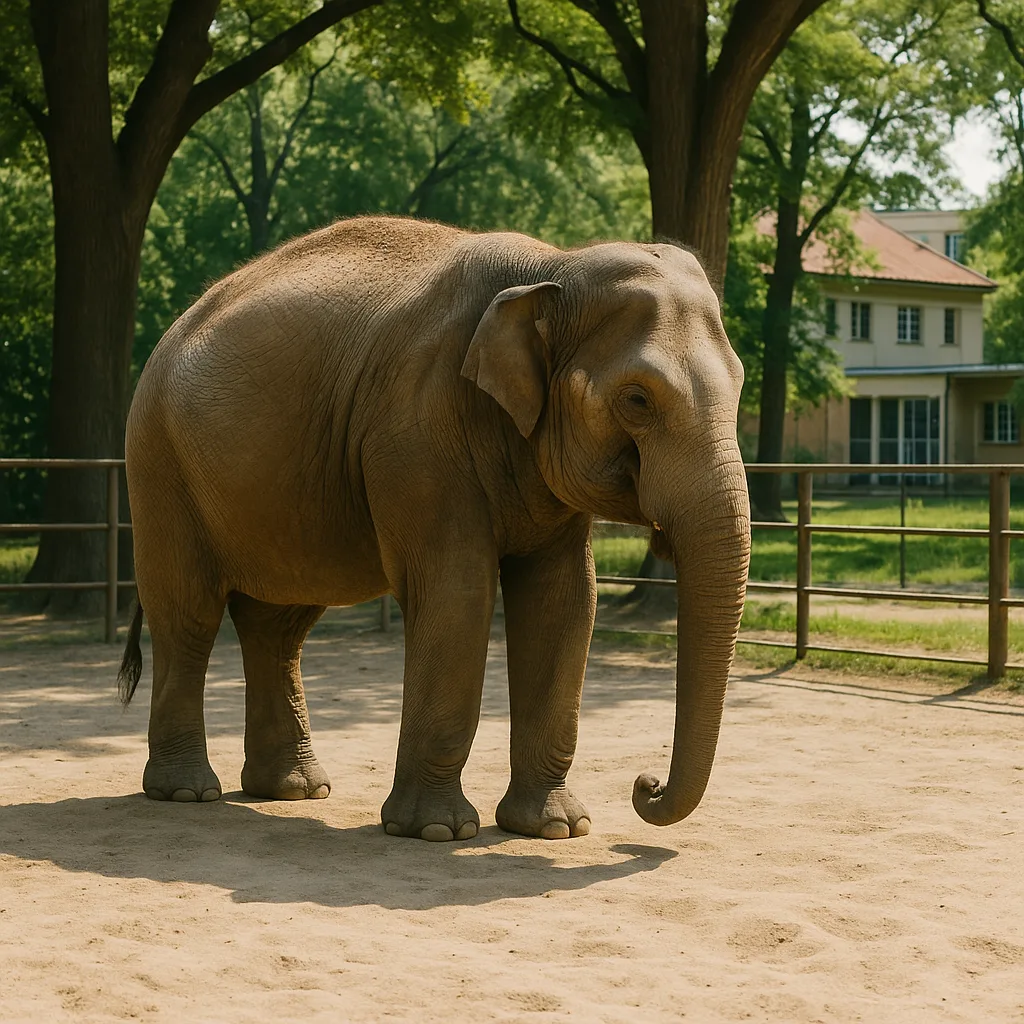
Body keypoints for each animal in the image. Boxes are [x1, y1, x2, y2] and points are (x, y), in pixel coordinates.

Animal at [117, 215, 750, 843]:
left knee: (277, 625)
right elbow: (457, 592)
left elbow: (565, 600)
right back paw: (187, 792)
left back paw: (294, 790)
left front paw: (554, 828)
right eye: (637, 399)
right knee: (189, 616)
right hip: (158, 463)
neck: (552, 267)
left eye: (741, 385)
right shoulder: (415, 431)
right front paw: (438, 831)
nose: (646, 785)